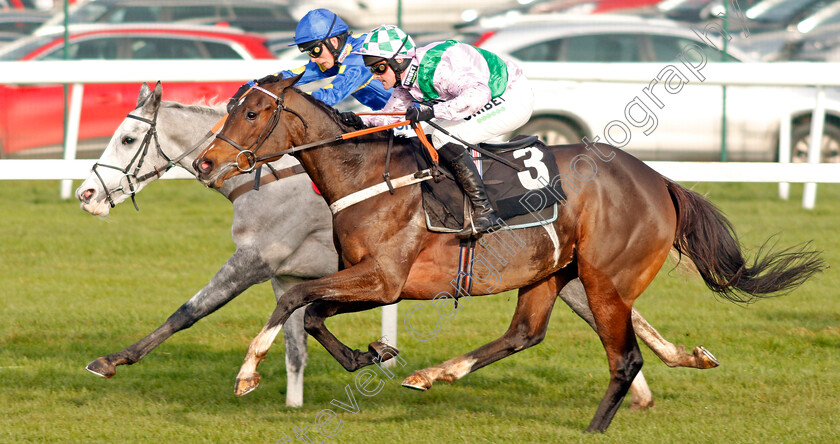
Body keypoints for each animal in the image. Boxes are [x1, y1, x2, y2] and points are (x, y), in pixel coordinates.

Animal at [190, 74, 820, 432]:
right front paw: (371, 354)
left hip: (604, 279)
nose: (203, 161)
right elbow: (315, 313)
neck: (367, 175)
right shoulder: (374, 281)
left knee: (624, 359)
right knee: (525, 334)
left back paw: (594, 427)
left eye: (251, 112)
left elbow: (294, 297)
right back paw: (435, 373)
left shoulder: (384, 279)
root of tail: (659, 180)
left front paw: (247, 373)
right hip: (550, 271)